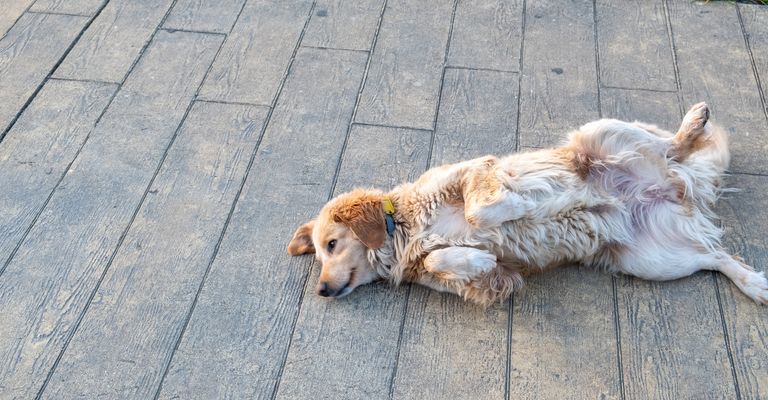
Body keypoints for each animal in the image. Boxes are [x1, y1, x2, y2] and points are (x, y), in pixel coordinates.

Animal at [288, 103, 768, 306]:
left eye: (331, 245)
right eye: (320, 257)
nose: (322, 290)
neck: (403, 232)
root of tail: (674, 186)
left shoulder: (470, 172)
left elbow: (481, 208)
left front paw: (515, 207)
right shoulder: (492, 283)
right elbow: (450, 260)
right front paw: (477, 258)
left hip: (599, 132)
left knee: (671, 145)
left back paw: (692, 123)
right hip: (651, 260)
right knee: (714, 257)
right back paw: (756, 286)